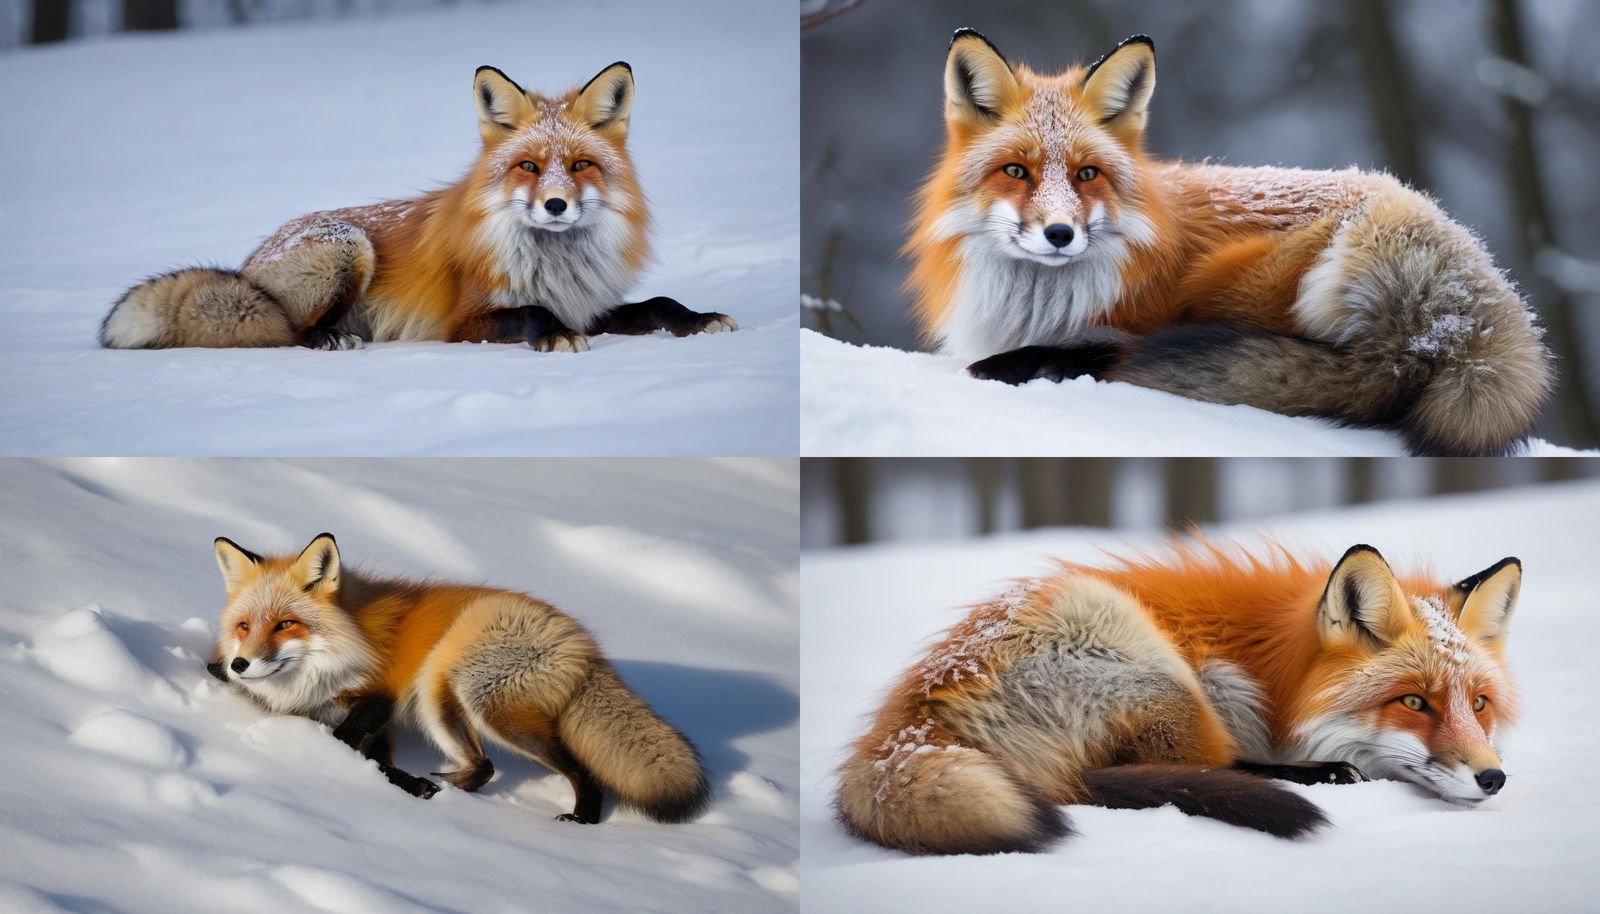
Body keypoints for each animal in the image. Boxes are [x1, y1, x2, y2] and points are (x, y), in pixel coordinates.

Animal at [102, 62, 736, 353]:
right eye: (528, 167)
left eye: (580, 165)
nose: (556, 205)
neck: (555, 264)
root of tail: (250, 262)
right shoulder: (465, 322)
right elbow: (534, 313)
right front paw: (555, 338)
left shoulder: (588, 304)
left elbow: (659, 303)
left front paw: (701, 320)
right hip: (349, 247)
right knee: (285, 331)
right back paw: (329, 340)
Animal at [204, 532, 711, 826]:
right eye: (244, 626)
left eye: (286, 624)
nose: (240, 665)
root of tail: (582, 643)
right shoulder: (376, 720)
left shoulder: (380, 697)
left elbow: (346, 740)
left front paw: (402, 782)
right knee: (483, 767)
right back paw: (448, 785)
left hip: (458, 693)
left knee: (555, 768)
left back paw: (581, 818)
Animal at [835, 540, 1522, 855]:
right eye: (1413, 703)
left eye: (1478, 703)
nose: (1493, 779)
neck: (1276, 677)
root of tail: (914, 715)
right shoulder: (1219, 683)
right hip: (1151, 661)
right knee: (1147, 773)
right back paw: (1321, 774)